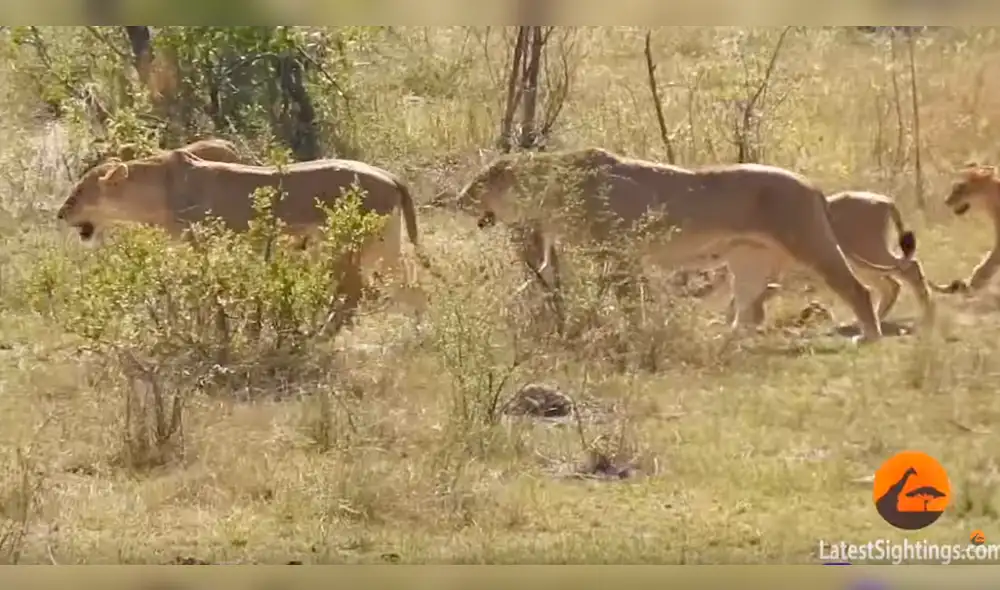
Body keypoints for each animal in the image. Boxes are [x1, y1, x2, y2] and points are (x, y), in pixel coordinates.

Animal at [56, 148, 432, 326]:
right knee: (409, 284)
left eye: (78, 192)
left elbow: (201, 290)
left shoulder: (201, 243)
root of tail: (389, 175)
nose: (60, 214)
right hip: (383, 244)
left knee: (355, 292)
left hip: (349, 245)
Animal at [448, 147, 897, 343]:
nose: (457, 199)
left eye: (479, 183)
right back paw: (726, 339)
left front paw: (636, 331)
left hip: (809, 242)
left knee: (858, 288)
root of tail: (813, 185)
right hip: (748, 260)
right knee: (749, 311)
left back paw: (869, 336)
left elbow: (630, 300)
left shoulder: (619, 251)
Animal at [721, 190, 938, 329]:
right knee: (891, 284)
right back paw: (868, 320)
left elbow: (749, 294)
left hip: (867, 251)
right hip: (860, 263)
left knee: (909, 269)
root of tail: (884, 199)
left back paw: (927, 316)